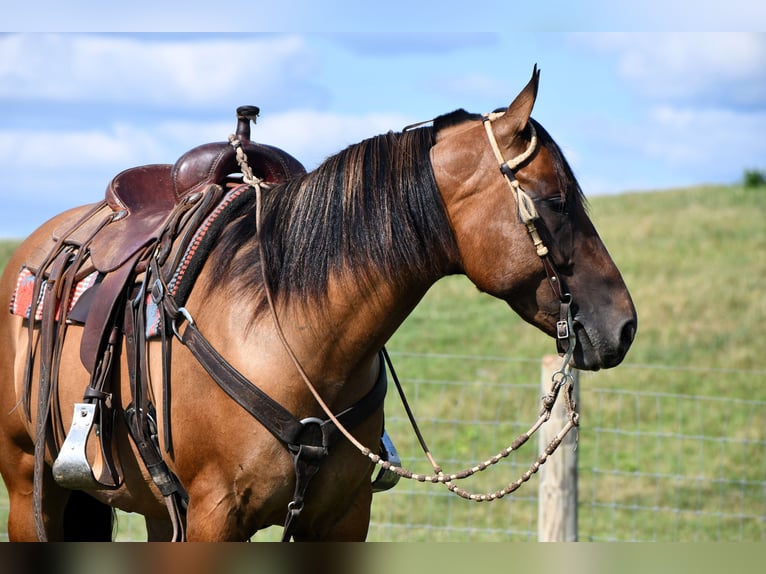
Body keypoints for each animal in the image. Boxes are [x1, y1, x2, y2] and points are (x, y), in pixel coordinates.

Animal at [0, 70, 636, 544]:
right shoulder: (214, 517)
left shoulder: (342, 519)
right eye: (555, 201)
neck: (291, 336)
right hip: (32, 485)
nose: (625, 326)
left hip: (157, 509)